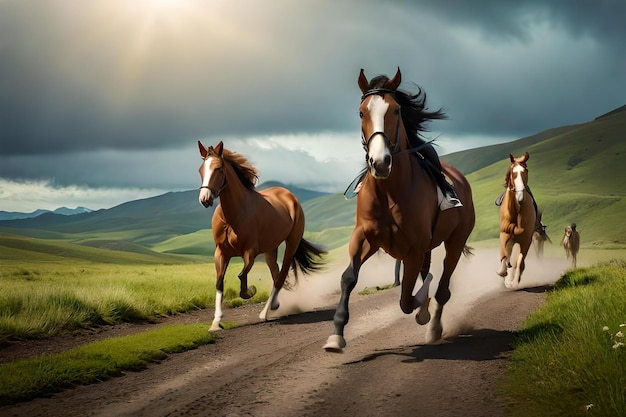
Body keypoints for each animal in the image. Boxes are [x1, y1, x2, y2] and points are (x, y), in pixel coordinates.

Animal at [199, 141, 326, 330]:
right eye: (201, 169)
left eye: (219, 169)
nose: (205, 198)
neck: (233, 216)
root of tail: (289, 196)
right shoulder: (221, 252)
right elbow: (219, 282)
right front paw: (215, 323)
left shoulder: (250, 252)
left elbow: (242, 276)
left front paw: (251, 291)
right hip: (270, 249)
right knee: (275, 272)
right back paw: (274, 304)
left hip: (291, 243)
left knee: (281, 276)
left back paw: (265, 313)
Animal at [322, 69, 472, 352]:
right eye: (361, 112)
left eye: (396, 110)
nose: (380, 162)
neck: (389, 190)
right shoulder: (365, 237)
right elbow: (348, 277)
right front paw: (336, 335)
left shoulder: (413, 249)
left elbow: (406, 299)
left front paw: (422, 308)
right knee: (428, 275)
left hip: (455, 242)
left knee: (442, 287)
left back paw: (434, 328)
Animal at [494, 151, 532, 288]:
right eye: (512, 172)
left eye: (526, 170)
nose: (520, 197)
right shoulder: (504, 233)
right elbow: (505, 254)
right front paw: (502, 272)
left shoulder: (526, 239)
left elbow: (519, 261)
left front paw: (515, 281)